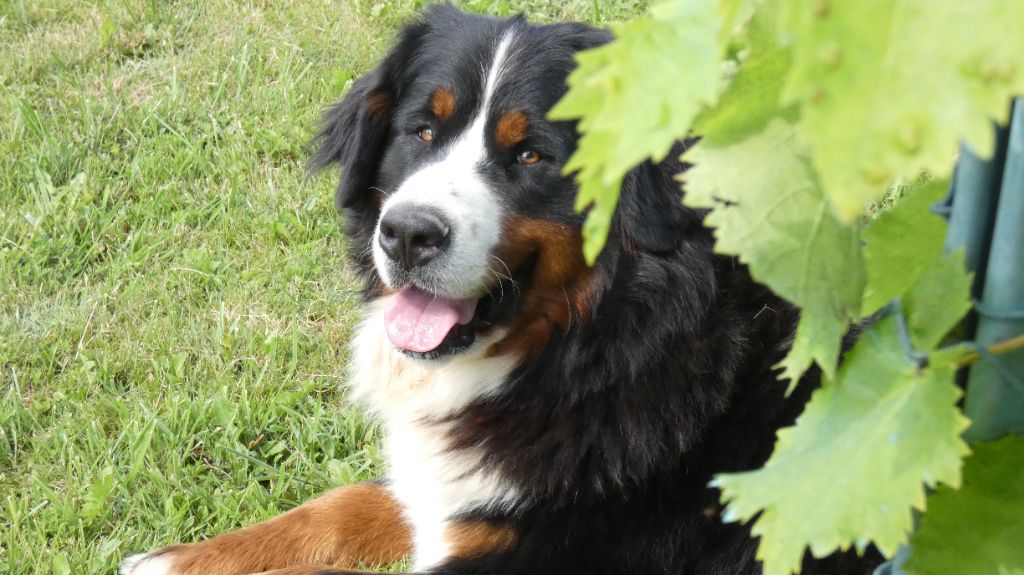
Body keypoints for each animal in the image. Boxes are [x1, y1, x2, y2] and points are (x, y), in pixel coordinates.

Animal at [120, 6, 882, 575]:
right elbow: (346, 500)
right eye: (421, 131)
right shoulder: (458, 497)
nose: (407, 234)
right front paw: (181, 557)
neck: (590, 349)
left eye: (532, 154)